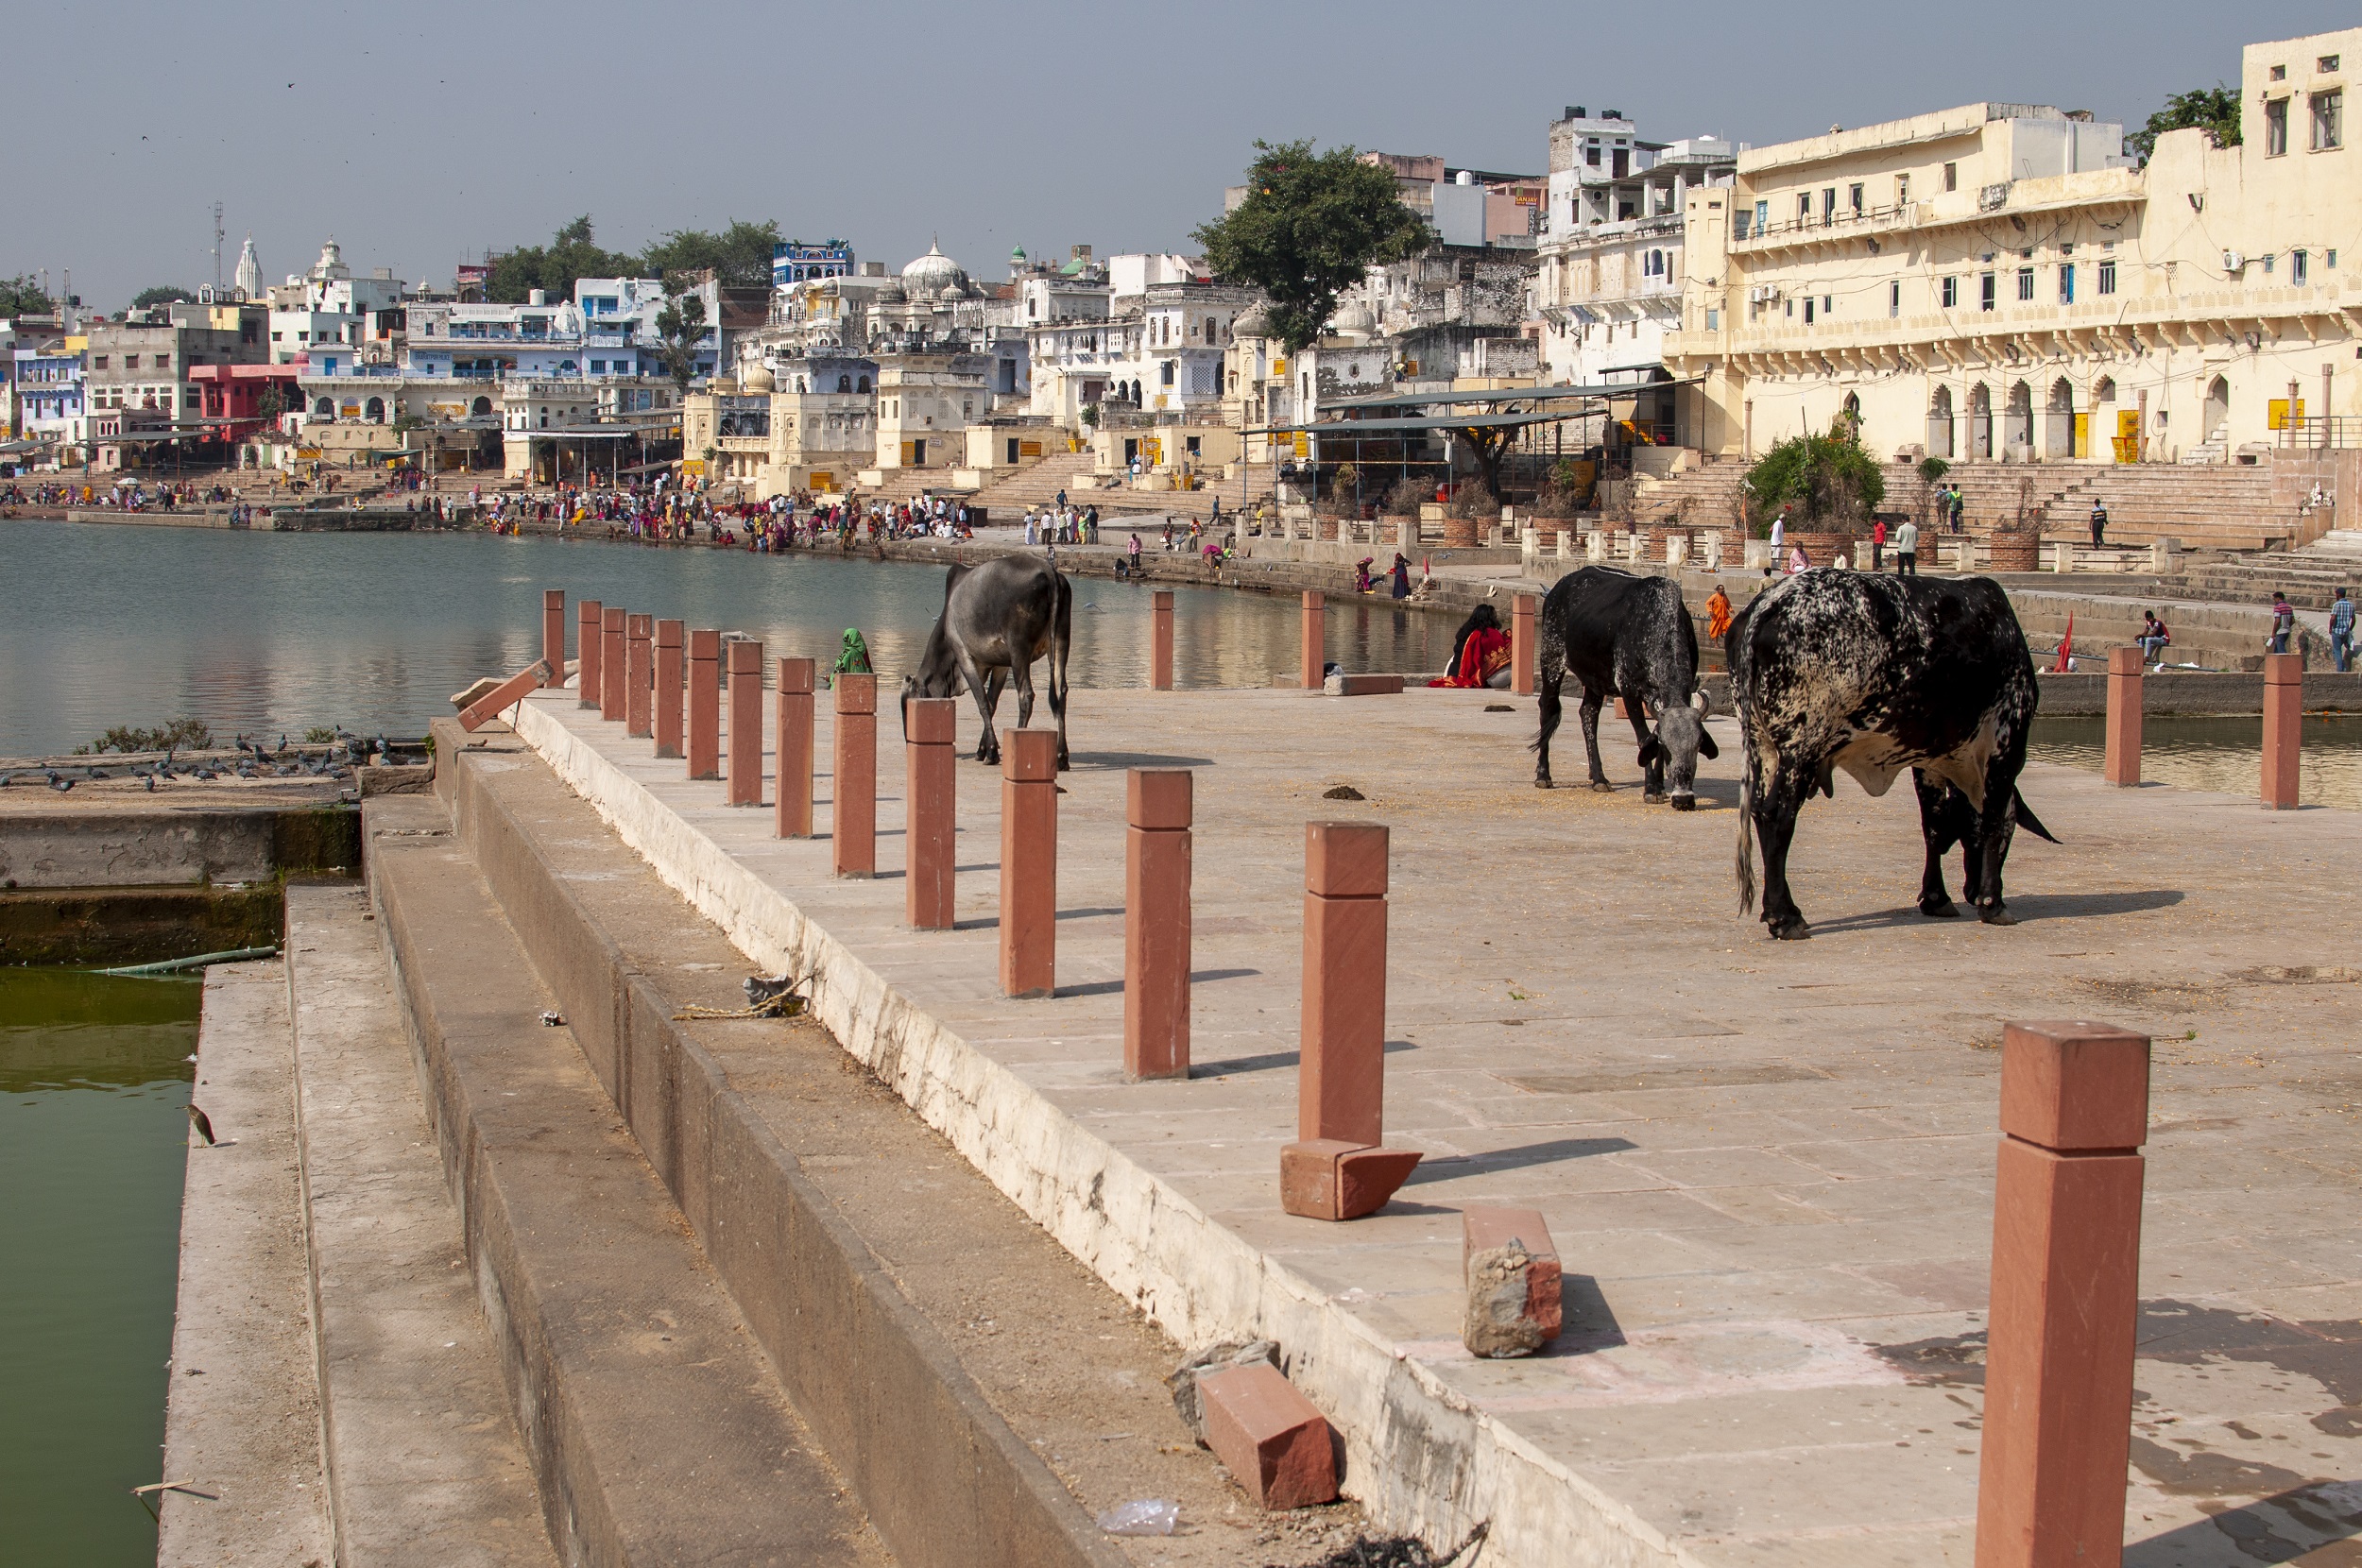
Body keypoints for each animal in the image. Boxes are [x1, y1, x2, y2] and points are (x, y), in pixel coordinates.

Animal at [902, 557, 1072, 770]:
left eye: (906, 706)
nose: (908, 743)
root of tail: (1049, 571)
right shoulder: (1001, 665)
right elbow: (991, 704)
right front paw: (982, 749)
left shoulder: (963, 654)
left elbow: (982, 702)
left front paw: (991, 752)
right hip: (1060, 641)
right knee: (1061, 692)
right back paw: (1061, 756)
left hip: (1019, 650)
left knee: (1025, 694)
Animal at [1531, 567, 1720, 808]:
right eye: (1667, 747)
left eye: (1697, 746)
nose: (1683, 799)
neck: (1657, 620)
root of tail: (1555, 590)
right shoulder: (1629, 689)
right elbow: (1645, 738)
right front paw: (1651, 789)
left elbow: (1653, 734)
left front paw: (1660, 786)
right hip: (1551, 660)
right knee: (1547, 708)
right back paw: (1543, 775)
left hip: (1594, 679)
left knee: (1588, 714)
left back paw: (1599, 778)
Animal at [1729, 576, 2060, 945]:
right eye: (2012, 835)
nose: (1973, 891)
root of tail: (1771, 600)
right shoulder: (2007, 743)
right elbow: (1990, 820)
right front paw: (1993, 903)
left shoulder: (1928, 762)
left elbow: (1933, 826)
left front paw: (1936, 897)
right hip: (1801, 749)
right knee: (1777, 817)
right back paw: (1784, 918)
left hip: (1763, 745)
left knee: (1760, 813)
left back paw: (1783, 909)